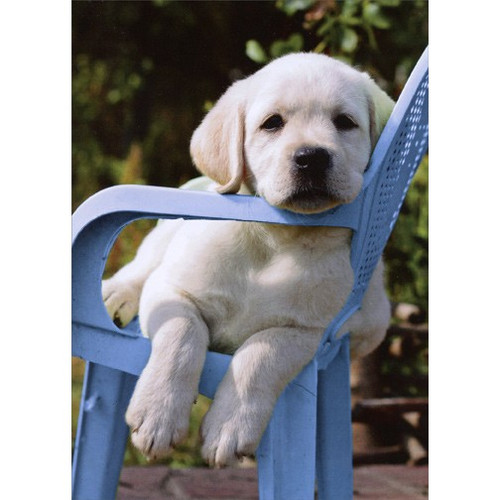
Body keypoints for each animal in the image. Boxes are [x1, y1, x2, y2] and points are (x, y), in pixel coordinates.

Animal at [102, 52, 394, 466]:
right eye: (272, 123)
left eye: (344, 122)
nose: (312, 157)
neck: (276, 239)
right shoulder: (171, 289)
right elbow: (182, 334)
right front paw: (159, 415)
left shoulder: (309, 332)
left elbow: (261, 353)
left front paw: (230, 426)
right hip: (166, 237)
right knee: (143, 264)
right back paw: (117, 294)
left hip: (372, 321)